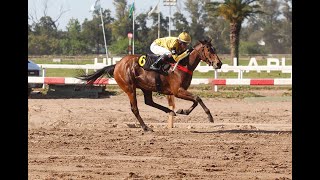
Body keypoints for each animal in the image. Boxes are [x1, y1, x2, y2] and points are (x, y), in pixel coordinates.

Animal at [78, 38, 222, 131]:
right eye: (209, 50)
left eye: (214, 49)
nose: (219, 63)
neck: (183, 64)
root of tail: (117, 64)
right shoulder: (177, 91)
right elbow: (197, 98)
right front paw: (209, 116)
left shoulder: (180, 91)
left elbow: (195, 100)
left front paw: (182, 111)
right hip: (129, 88)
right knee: (135, 108)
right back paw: (145, 127)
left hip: (146, 87)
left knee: (149, 101)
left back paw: (170, 111)